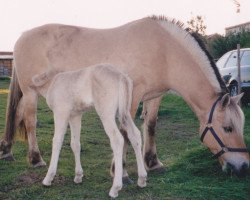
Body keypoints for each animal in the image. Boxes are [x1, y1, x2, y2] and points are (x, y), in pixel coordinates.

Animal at [0, 16, 249, 177]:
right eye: (227, 128)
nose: (243, 166)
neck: (164, 51)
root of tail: (22, 37)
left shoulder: (154, 96)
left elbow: (150, 126)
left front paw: (152, 162)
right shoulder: (132, 95)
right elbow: (124, 132)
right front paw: (119, 170)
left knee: (18, 114)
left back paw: (7, 150)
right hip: (31, 92)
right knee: (30, 121)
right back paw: (35, 159)